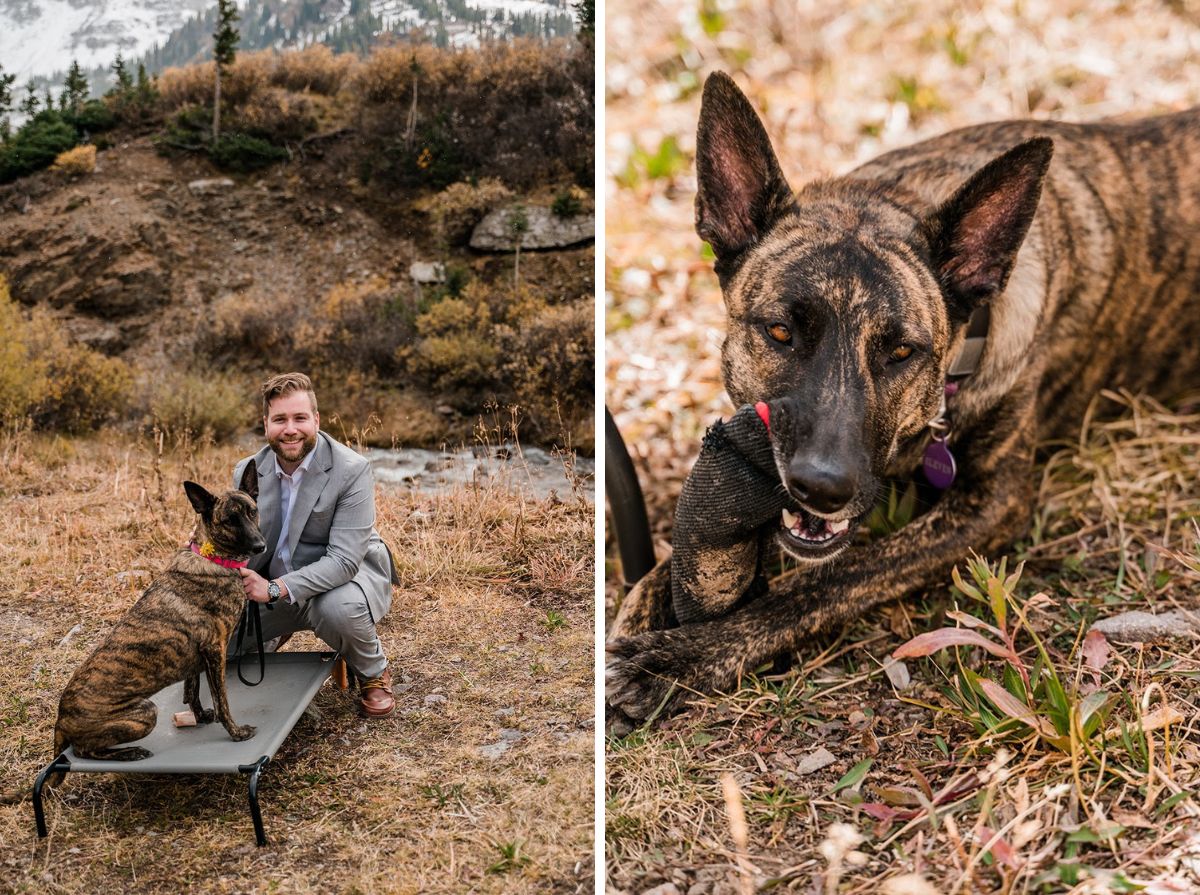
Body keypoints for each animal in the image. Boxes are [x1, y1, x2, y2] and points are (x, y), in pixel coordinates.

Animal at [49, 463, 265, 777]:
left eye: (252, 511)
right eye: (229, 520)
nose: (261, 546)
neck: (212, 558)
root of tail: (60, 720)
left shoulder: (199, 657)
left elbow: (192, 689)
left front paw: (200, 716)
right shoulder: (215, 651)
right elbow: (221, 700)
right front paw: (236, 733)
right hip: (145, 712)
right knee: (83, 750)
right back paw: (130, 752)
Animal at [609, 73, 1200, 719]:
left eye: (900, 351)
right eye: (781, 332)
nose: (822, 487)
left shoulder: (991, 506)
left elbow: (830, 579)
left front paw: (681, 657)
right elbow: (665, 566)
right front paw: (639, 613)